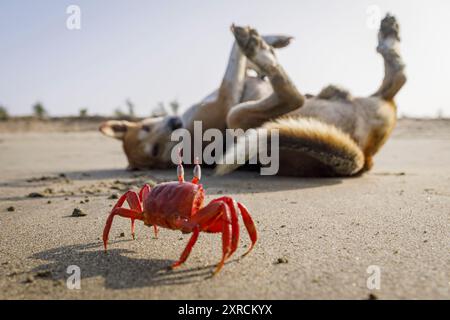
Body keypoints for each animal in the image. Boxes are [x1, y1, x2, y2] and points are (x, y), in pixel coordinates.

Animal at [100, 13, 406, 176]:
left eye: (147, 127)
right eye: (154, 150)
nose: (175, 124)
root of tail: (365, 157)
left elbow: (241, 65)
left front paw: (272, 40)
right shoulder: (225, 98)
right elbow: (233, 66)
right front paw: (260, 47)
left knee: (396, 78)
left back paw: (388, 35)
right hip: (241, 120)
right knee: (292, 97)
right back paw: (259, 52)